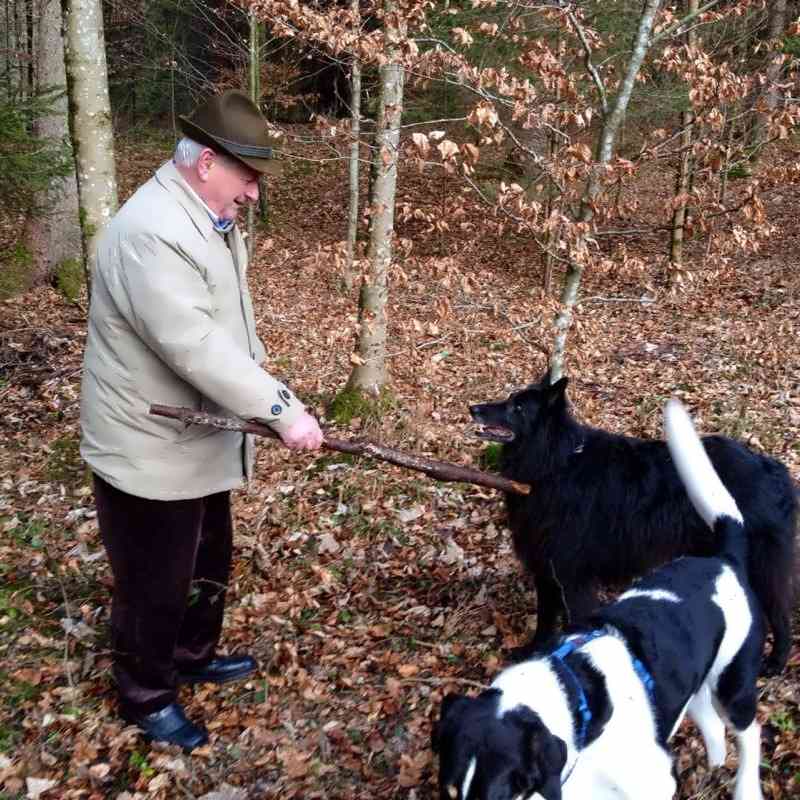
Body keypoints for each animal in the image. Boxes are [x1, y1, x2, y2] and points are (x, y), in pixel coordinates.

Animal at [438, 400, 768, 800]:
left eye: (498, 795)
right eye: (448, 790)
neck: (580, 705)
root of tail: (723, 558)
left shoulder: (652, 783)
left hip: (734, 683)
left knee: (750, 731)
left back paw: (745, 785)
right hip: (695, 681)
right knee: (709, 719)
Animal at [468, 372, 792, 672]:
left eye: (518, 408)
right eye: (511, 399)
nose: (474, 408)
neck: (555, 463)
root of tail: (772, 467)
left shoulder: (573, 578)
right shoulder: (545, 568)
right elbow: (545, 619)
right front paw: (533, 652)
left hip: (759, 567)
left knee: (779, 614)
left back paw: (776, 661)